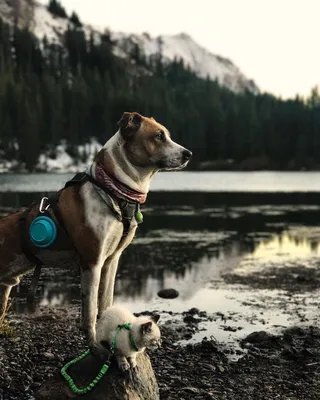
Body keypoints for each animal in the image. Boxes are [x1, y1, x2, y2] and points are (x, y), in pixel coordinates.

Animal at [0, 111, 191, 354]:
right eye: (158, 136)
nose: (188, 154)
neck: (113, 191)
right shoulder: (92, 262)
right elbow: (90, 312)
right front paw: (94, 347)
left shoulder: (111, 260)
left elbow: (106, 303)